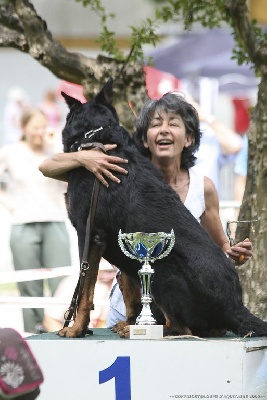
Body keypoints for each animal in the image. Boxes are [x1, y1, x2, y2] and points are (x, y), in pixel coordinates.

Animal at [58, 77, 267, 338]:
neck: (98, 137)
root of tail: (236, 307)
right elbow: (129, 291)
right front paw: (125, 320)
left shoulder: (90, 235)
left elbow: (84, 290)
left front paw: (76, 328)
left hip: (164, 272)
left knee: (180, 327)